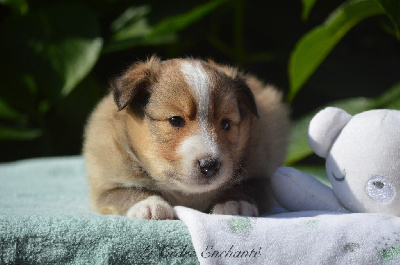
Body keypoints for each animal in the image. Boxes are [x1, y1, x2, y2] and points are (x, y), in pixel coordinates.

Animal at [83, 56, 290, 219]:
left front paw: (234, 203)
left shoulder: (261, 175)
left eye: (226, 124)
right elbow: (124, 191)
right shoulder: (105, 184)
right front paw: (150, 205)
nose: (209, 165)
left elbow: (246, 187)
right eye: (175, 120)